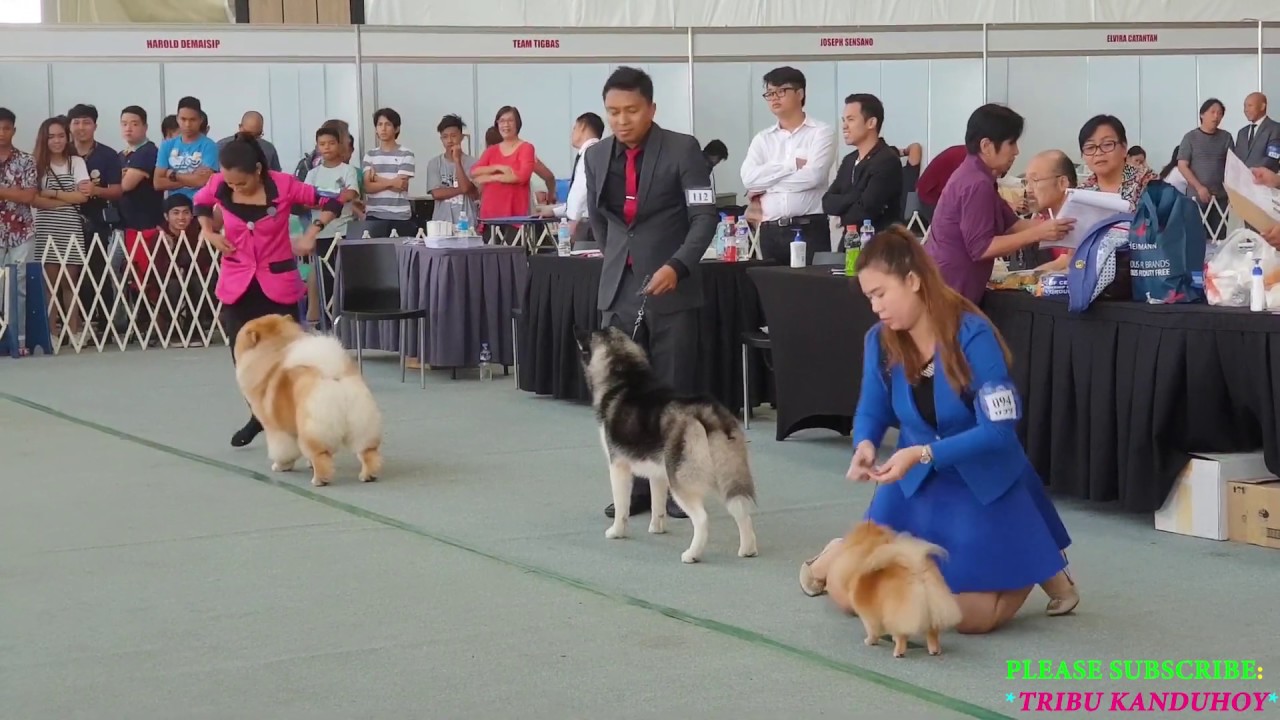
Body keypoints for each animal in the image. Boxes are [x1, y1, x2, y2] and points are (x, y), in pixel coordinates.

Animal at [235, 312, 381, 484]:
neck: (273, 353)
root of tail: (333, 376)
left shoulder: (276, 429)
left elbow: (283, 451)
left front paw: (281, 466)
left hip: (312, 428)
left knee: (320, 455)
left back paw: (319, 480)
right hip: (360, 424)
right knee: (367, 451)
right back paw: (368, 475)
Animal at [573, 322, 757, 563]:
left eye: (591, 333)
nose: (577, 329)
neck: (624, 376)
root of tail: (706, 412)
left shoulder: (618, 466)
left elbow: (622, 507)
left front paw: (616, 532)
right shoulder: (658, 473)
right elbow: (657, 504)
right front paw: (656, 528)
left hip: (681, 479)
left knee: (702, 519)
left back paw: (692, 554)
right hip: (726, 475)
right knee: (742, 511)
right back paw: (747, 549)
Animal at [829, 517, 962, 653]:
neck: (870, 548)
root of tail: (917, 572)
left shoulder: (868, 614)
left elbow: (872, 630)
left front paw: (870, 641)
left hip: (897, 613)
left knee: (902, 636)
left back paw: (898, 652)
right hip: (933, 612)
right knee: (932, 634)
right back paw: (934, 651)